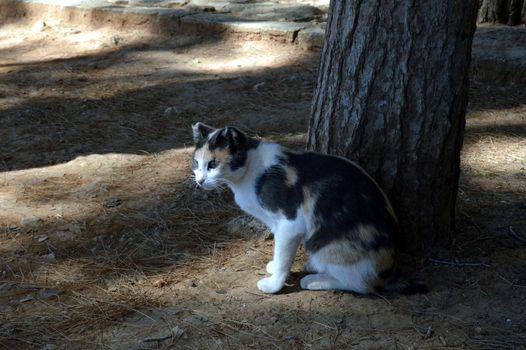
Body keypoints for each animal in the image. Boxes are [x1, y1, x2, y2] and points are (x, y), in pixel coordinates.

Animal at [192, 123, 426, 296]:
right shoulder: (277, 225)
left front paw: (273, 285)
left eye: (213, 164)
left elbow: (284, 256)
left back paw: (314, 280)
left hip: (327, 245)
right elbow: (279, 250)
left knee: (361, 284)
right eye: (195, 163)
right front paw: (274, 265)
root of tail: (389, 271)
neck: (250, 170)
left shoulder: (290, 223)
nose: (200, 181)